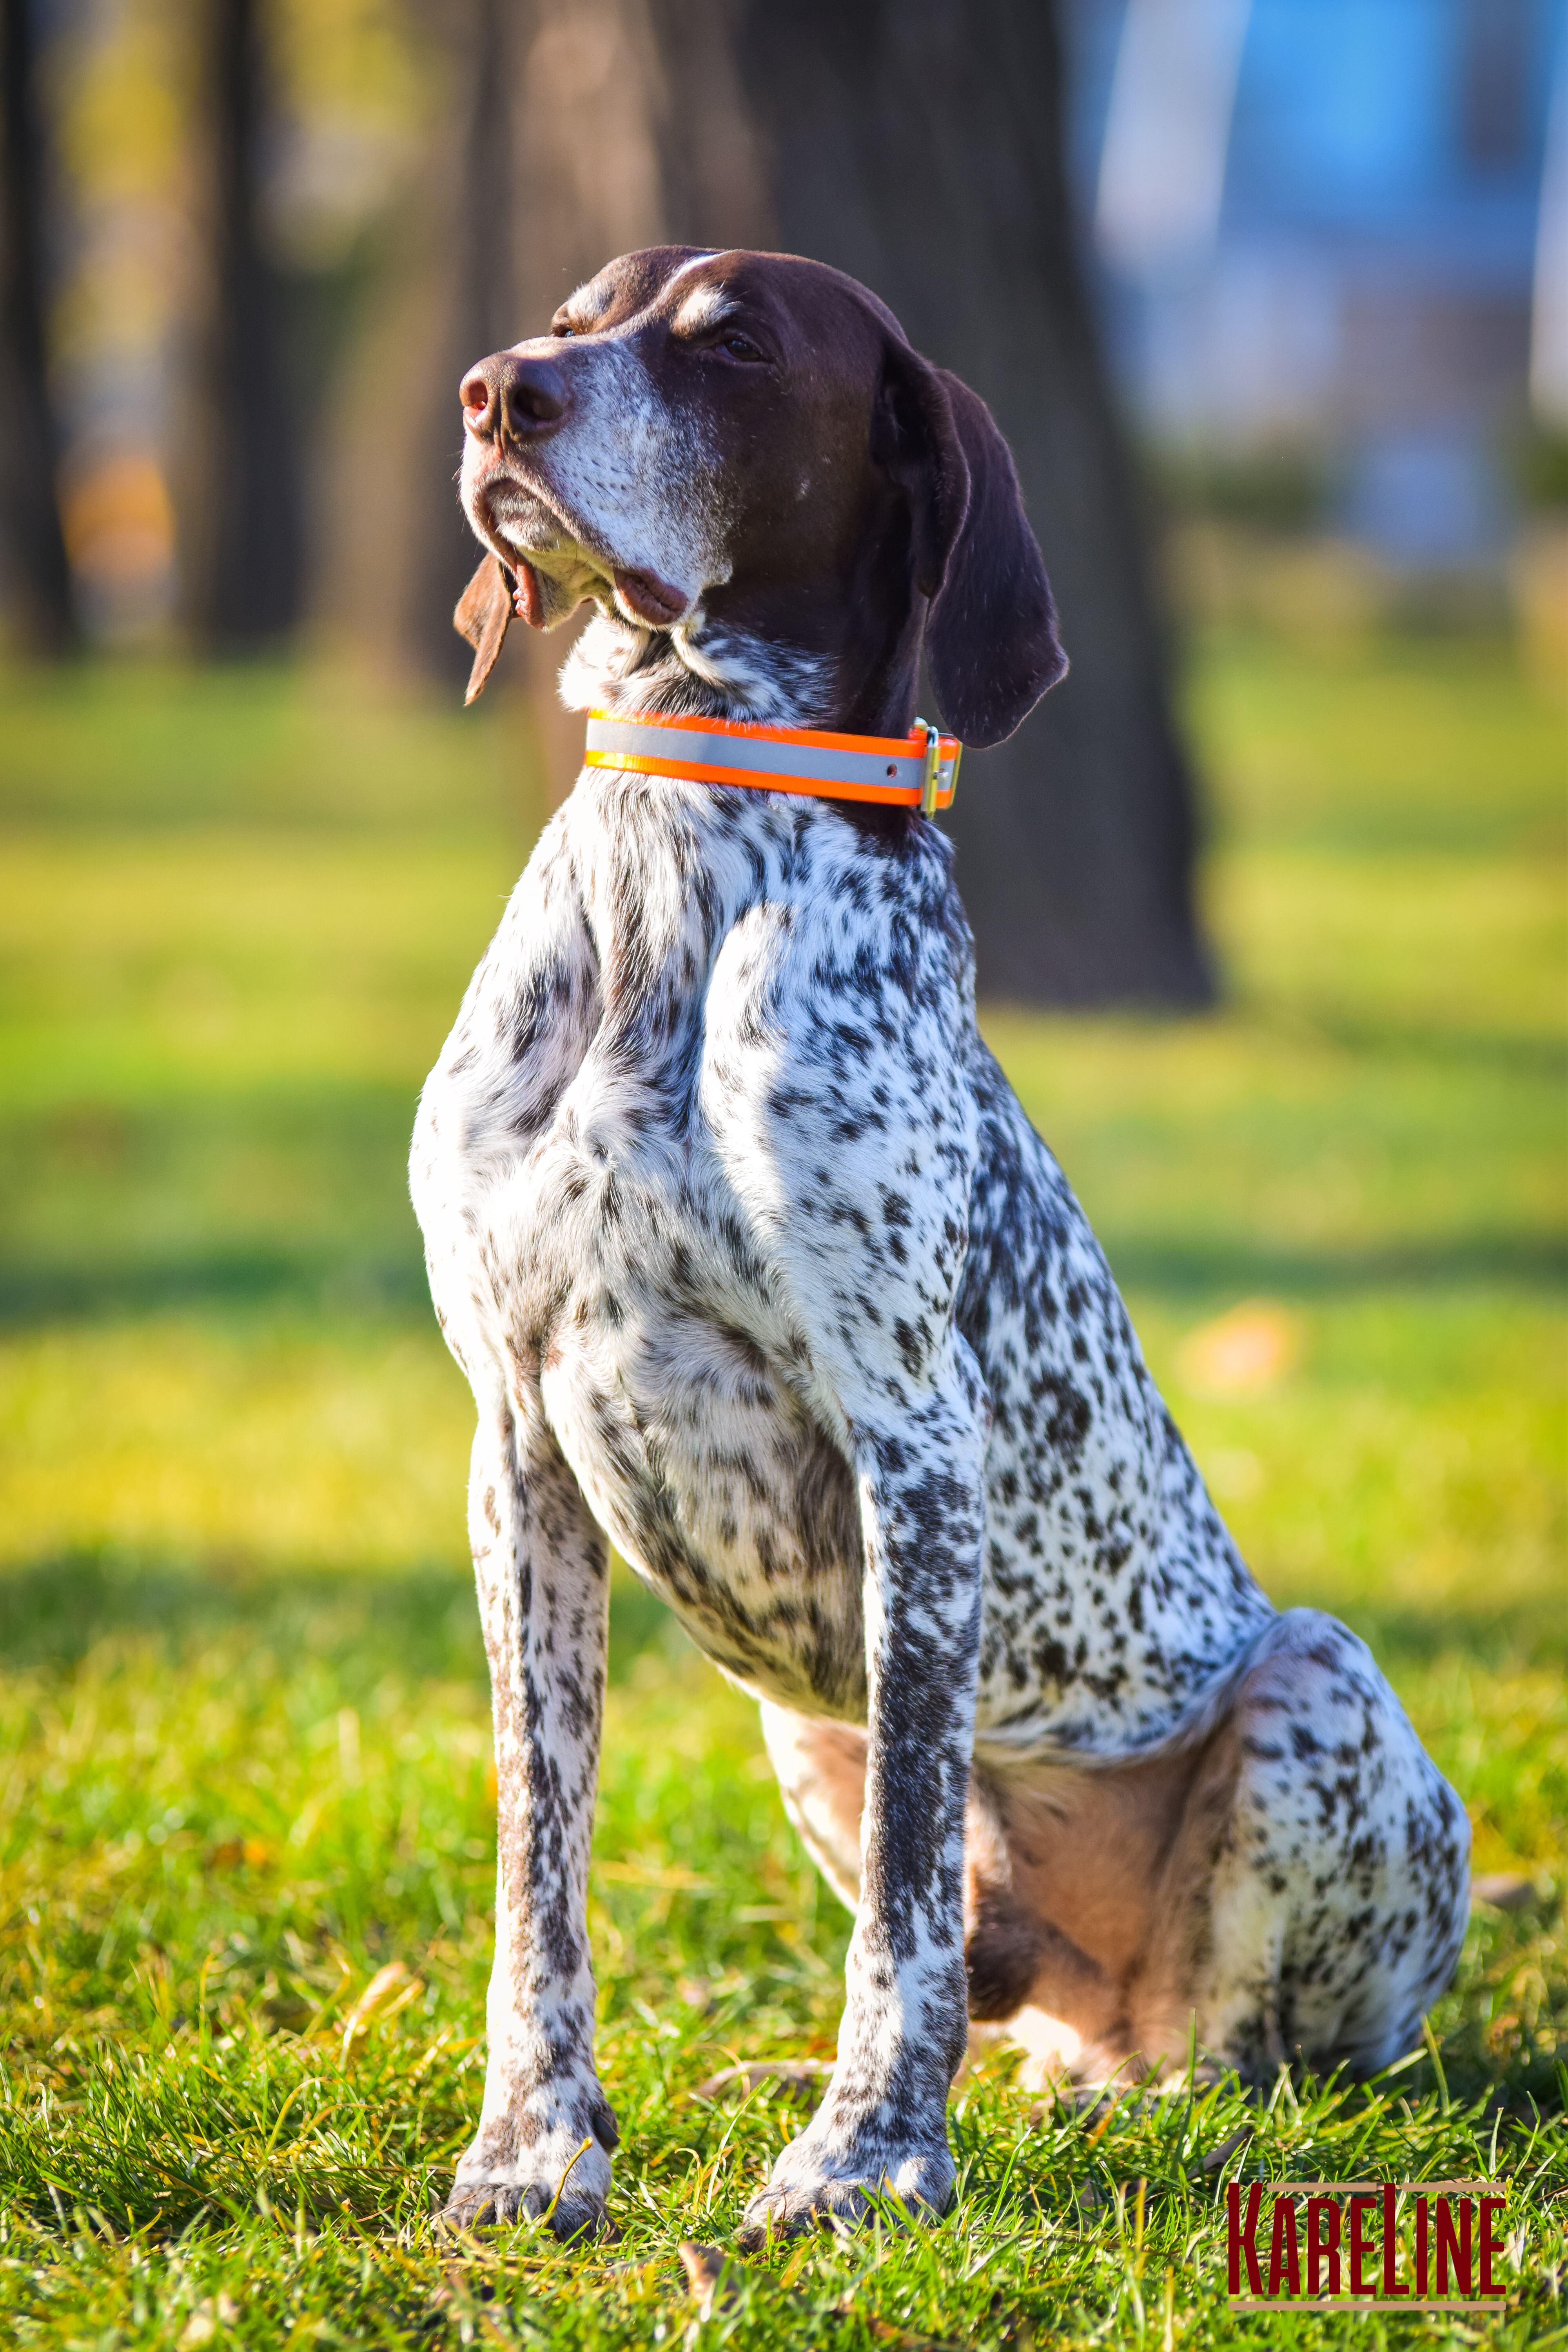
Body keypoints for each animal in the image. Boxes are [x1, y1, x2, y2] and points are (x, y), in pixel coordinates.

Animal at [409, 243, 1476, 2239]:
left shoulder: (911, 1452)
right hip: (792, 1727)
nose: (496, 392)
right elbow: (537, 1870)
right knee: (1031, 2007)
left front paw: (865, 2156)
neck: (679, 842)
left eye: (735, 342)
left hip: (1316, 1686)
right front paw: (533, 2146)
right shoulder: (515, 1451)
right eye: (578, 311)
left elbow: (904, 1895)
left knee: (1224, 2052)